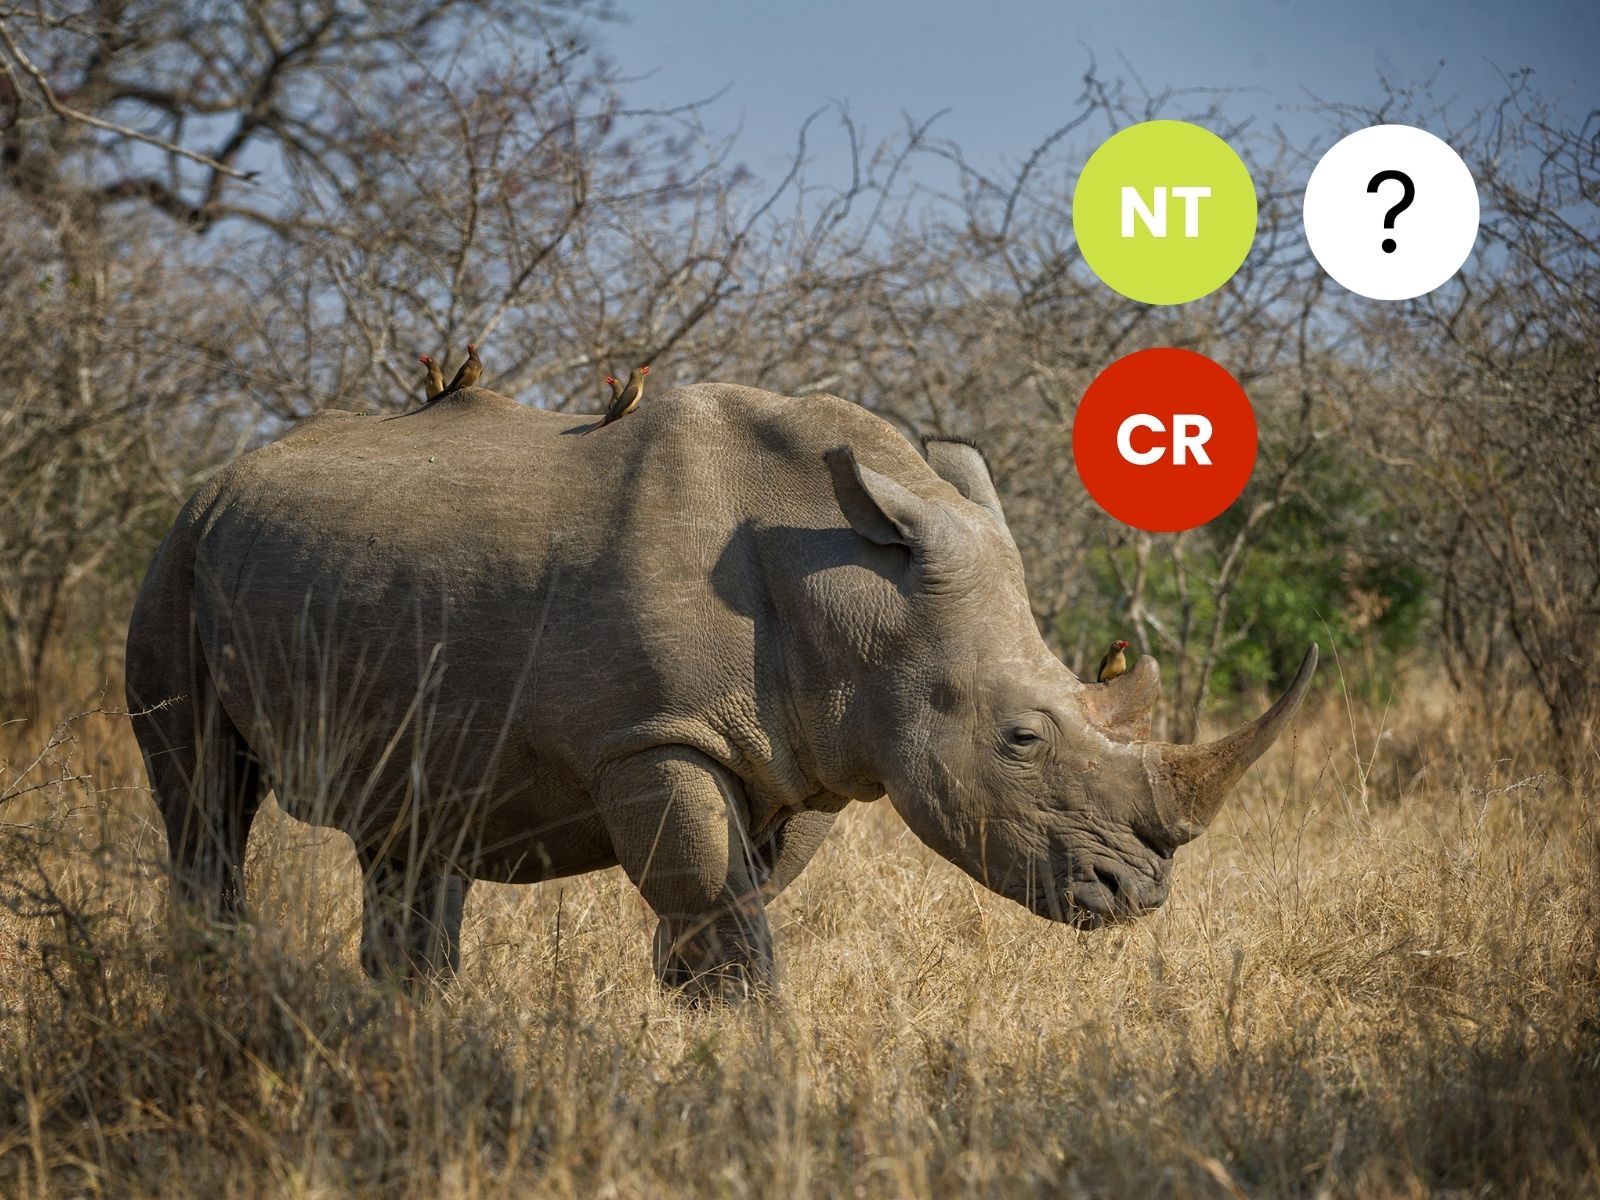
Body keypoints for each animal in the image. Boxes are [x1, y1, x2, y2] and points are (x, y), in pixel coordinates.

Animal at [125, 384, 1316, 1000]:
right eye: (1023, 737)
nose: (1139, 898)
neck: (864, 596)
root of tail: (219, 475)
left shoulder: (809, 758)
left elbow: (733, 897)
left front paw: (692, 1013)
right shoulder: (653, 736)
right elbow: (716, 896)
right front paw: (744, 1050)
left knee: (411, 833)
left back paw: (409, 1021)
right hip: (177, 555)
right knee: (205, 801)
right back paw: (213, 983)